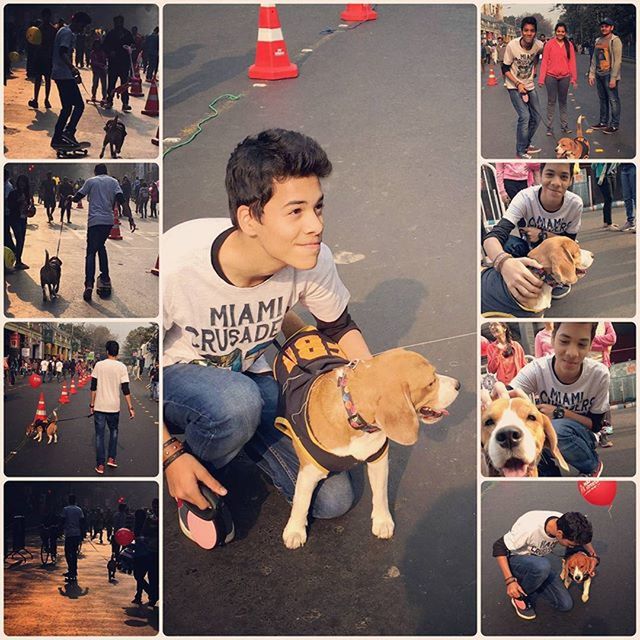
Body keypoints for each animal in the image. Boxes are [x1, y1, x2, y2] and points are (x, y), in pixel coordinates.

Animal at [276, 328, 460, 548]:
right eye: (431, 382)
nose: (459, 385)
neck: (355, 420)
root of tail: (302, 330)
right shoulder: (310, 470)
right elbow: (301, 501)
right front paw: (295, 530)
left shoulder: (378, 460)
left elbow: (380, 494)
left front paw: (382, 521)